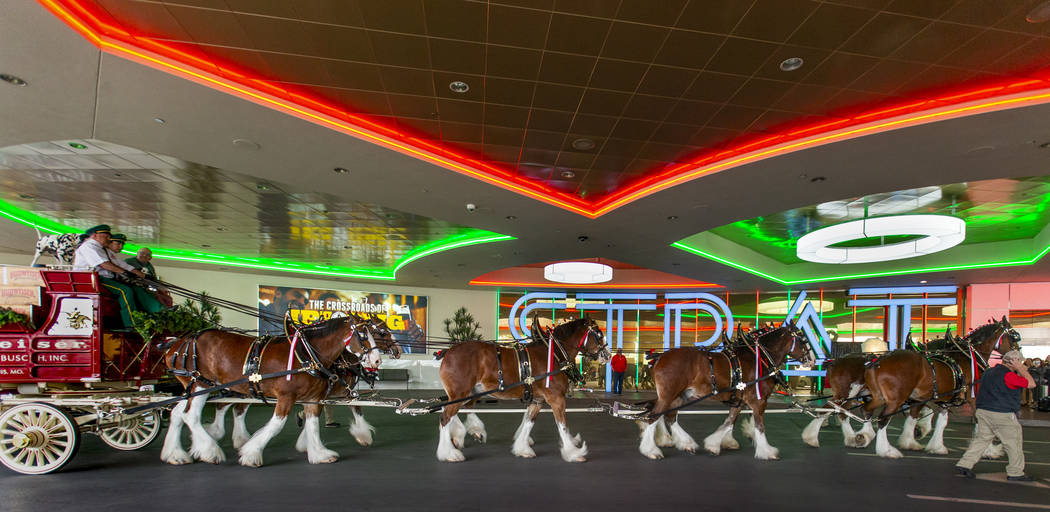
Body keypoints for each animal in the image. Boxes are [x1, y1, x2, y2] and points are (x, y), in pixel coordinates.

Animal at [159, 314, 382, 465]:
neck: (307, 354)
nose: (377, 360)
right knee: (192, 416)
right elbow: (276, 425)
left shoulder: (313, 397)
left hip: (198, 387)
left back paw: (175, 454)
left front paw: (319, 453)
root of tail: (178, 342)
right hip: (201, 383)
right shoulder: (287, 396)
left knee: (178, 413)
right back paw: (210, 450)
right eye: (363, 334)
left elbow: (313, 423)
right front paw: (251, 453)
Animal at [434, 318, 613, 461]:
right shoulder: (556, 398)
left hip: (469, 392)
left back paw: (469, 433)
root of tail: (448, 352)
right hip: (461, 393)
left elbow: (529, 422)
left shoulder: (538, 400)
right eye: (599, 334)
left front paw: (522, 448)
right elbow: (562, 425)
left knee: (459, 409)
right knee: (445, 417)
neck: (554, 353)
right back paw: (449, 453)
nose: (608, 355)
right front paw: (573, 453)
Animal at [634, 323, 814, 459]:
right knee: (653, 416)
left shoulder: (739, 401)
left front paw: (715, 444)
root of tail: (660, 357)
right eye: (803, 340)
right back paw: (651, 450)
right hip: (669, 395)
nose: (812, 360)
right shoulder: (759, 401)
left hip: (679, 396)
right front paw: (767, 451)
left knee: (669, 417)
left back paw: (686, 443)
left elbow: (729, 422)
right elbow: (760, 426)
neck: (759, 357)